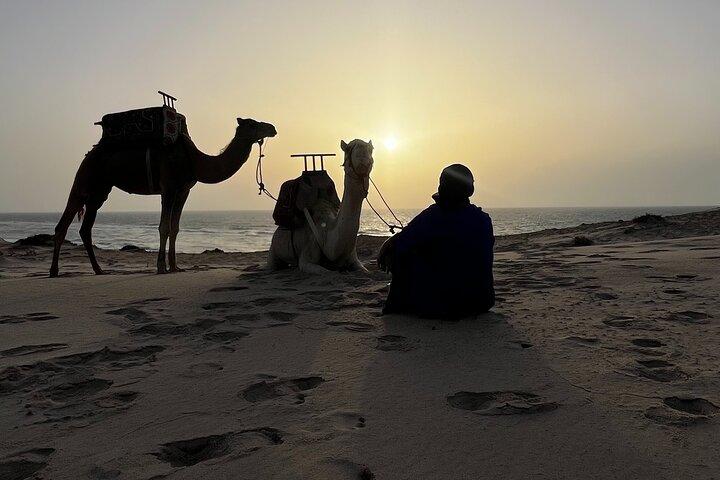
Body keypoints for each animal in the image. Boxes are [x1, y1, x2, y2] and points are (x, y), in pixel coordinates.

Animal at [50, 118, 277, 277]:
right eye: (252, 123)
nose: (272, 128)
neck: (194, 160)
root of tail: (89, 153)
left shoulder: (183, 191)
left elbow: (175, 228)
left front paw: (175, 266)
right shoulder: (168, 188)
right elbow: (164, 227)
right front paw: (161, 267)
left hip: (101, 190)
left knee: (85, 228)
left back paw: (98, 270)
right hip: (85, 179)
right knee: (64, 223)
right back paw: (54, 271)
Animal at [267, 138, 373, 274]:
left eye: (371, 149)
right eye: (348, 149)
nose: (364, 160)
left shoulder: (354, 259)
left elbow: (365, 270)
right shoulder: (307, 255)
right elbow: (327, 271)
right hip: (273, 249)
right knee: (272, 265)